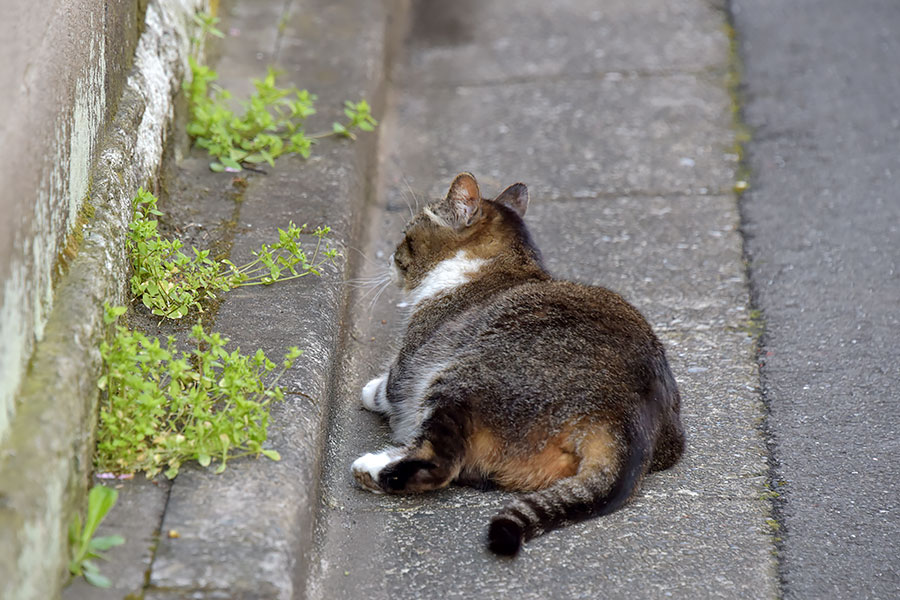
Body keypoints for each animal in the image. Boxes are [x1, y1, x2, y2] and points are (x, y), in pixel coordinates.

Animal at [352, 171, 684, 556]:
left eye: (407, 236)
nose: (392, 257)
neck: (500, 265)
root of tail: (622, 421)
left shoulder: (409, 362)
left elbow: (386, 388)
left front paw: (370, 391)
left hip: (457, 380)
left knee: (441, 464)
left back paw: (371, 467)